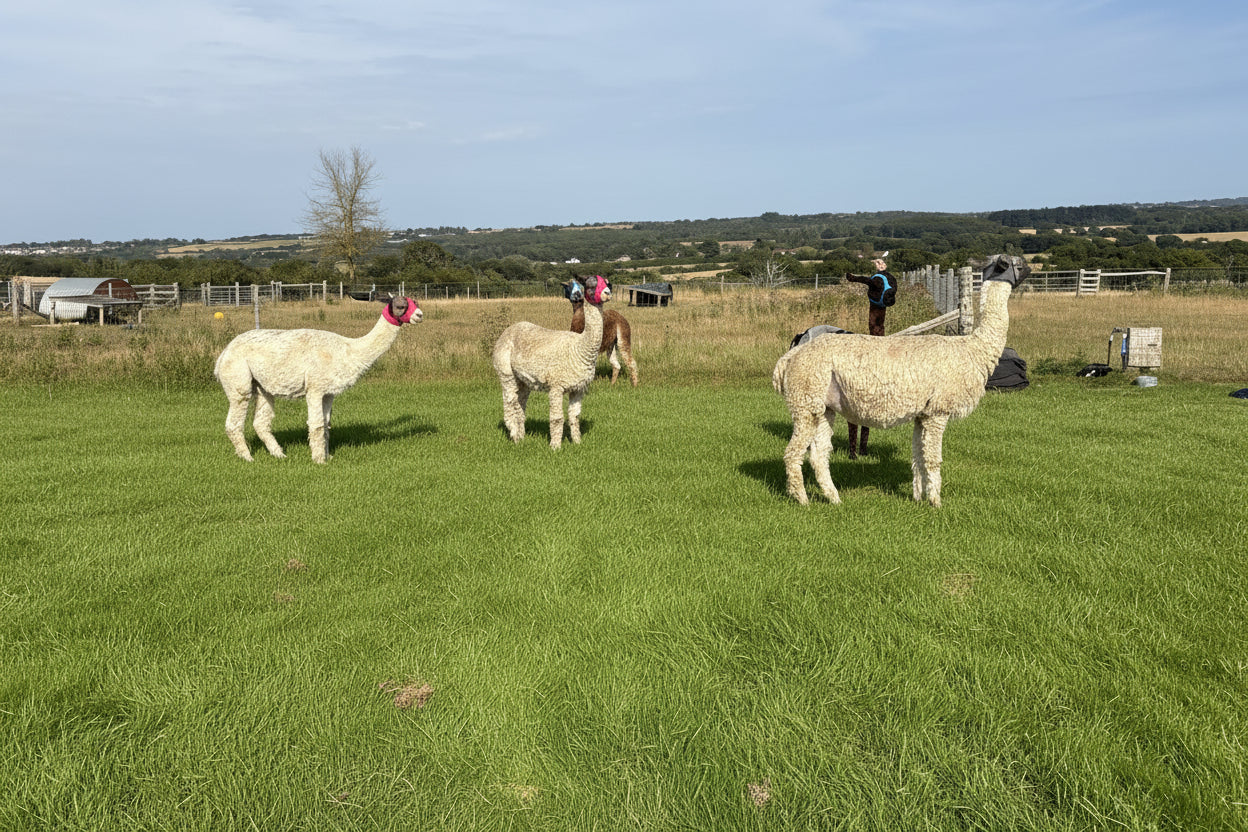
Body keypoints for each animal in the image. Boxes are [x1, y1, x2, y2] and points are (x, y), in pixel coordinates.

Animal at [214, 293, 421, 463]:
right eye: (401, 306)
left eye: (415, 302)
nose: (419, 315)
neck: (347, 351)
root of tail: (224, 353)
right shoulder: (315, 387)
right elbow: (317, 425)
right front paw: (319, 460)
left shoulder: (328, 393)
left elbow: (327, 425)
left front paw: (328, 455)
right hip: (237, 377)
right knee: (233, 423)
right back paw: (247, 457)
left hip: (263, 386)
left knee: (261, 423)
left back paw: (279, 454)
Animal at [492, 275, 611, 448]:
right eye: (591, 285)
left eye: (608, 283)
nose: (608, 293)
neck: (580, 349)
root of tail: (509, 329)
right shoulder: (556, 385)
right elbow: (557, 418)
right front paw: (555, 446)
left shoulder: (579, 388)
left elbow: (575, 416)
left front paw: (577, 443)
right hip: (505, 370)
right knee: (510, 402)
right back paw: (514, 436)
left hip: (523, 380)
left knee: (520, 404)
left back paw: (521, 436)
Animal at [772, 255, 1028, 507]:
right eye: (1018, 263)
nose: (1030, 270)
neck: (973, 350)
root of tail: (788, 358)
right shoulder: (938, 410)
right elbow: (933, 459)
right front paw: (936, 502)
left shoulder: (923, 413)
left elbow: (918, 457)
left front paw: (918, 497)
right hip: (806, 400)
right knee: (793, 453)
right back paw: (803, 500)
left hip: (823, 406)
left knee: (819, 454)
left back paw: (834, 499)